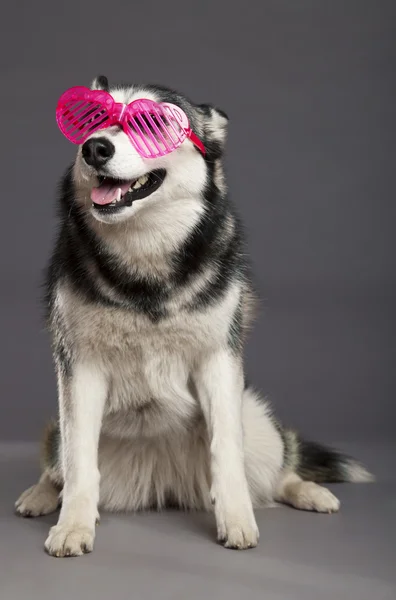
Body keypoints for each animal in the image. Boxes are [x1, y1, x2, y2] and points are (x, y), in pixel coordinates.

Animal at [15, 76, 372, 556]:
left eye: (152, 122)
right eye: (93, 120)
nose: (95, 148)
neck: (145, 263)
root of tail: (162, 479)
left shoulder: (218, 362)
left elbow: (228, 453)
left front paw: (237, 518)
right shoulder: (79, 367)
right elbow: (79, 463)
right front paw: (72, 525)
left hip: (258, 420)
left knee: (277, 471)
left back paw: (309, 492)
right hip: (59, 425)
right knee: (56, 466)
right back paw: (38, 496)